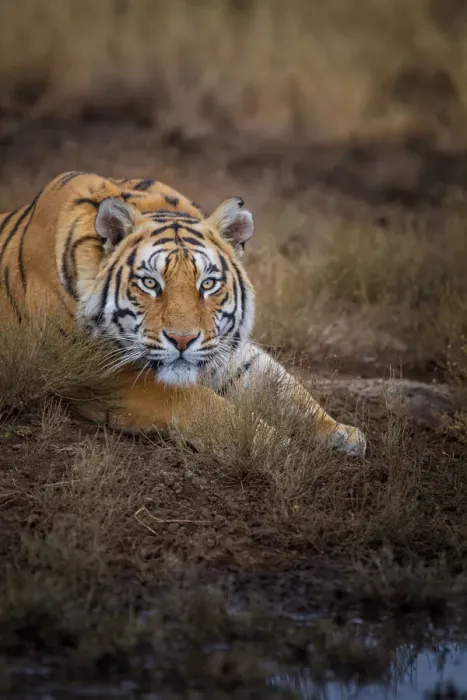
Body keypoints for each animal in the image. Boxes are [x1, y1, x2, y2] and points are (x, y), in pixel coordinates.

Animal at [0, 171, 366, 457]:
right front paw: (274, 444)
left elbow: (287, 391)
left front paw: (343, 432)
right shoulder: (100, 376)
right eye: (150, 283)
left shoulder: (229, 352)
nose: (182, 340)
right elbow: (202, 404)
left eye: (208, 284)